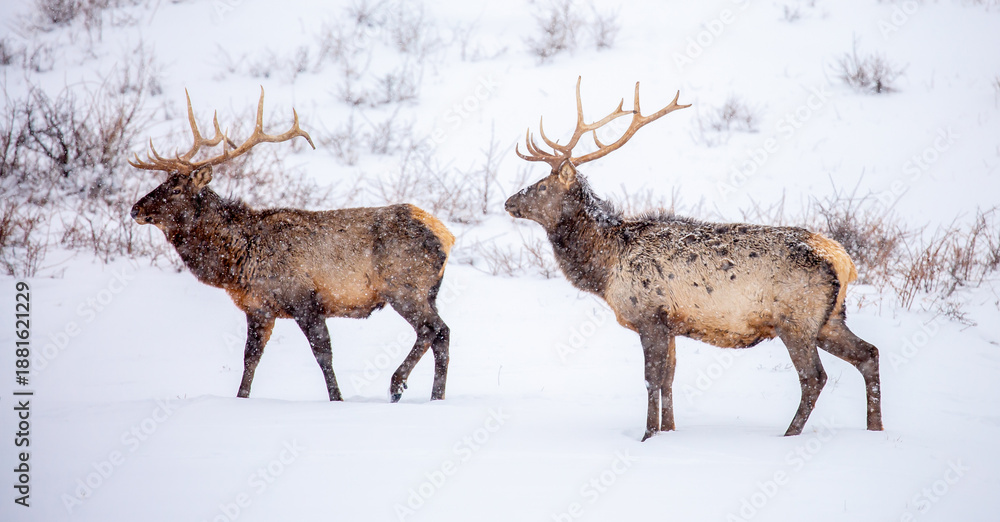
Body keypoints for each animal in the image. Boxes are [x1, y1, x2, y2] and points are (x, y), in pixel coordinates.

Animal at [129, 88, 454, 403]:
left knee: (435, 329)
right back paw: (434, 397)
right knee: (440, 334)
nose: (135, 209)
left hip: (404, 286)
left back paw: (398, 385)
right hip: (427, 292)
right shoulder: (258, 309)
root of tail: (446, 235)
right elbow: (250, 358)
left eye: (175, 188)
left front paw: (337, 399)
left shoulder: (304, 299)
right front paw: (240, 400)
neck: (238, 262)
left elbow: (323, 354)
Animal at [505, 78, 882, 440]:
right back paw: (874, 429)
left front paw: (647, 435)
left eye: (541, 186)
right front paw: (669, 431)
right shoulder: (672, 323)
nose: (509, 201)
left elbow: (651, 379)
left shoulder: (649, 315)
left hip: (796, 320)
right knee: (869, 354)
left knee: (814, 377)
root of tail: (844, 261)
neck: (606, 267)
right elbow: (669, 378)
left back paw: (789, 434)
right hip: (830, 319)